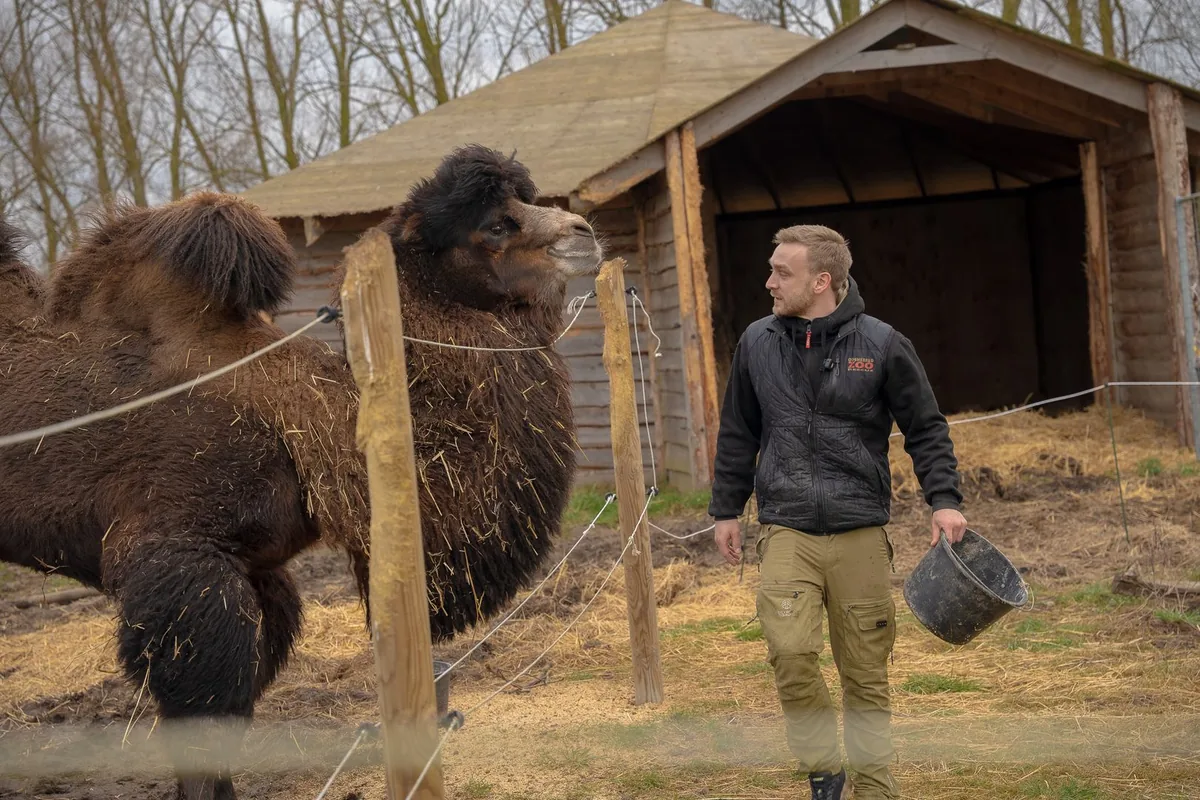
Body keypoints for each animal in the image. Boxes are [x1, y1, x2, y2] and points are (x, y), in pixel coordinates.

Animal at [0, 145, 602, 799]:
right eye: (493, 225)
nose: (584, 232)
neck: (307, 420)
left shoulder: (261, 573)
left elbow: (233, 713)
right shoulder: (183, 563)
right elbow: (200, 722)